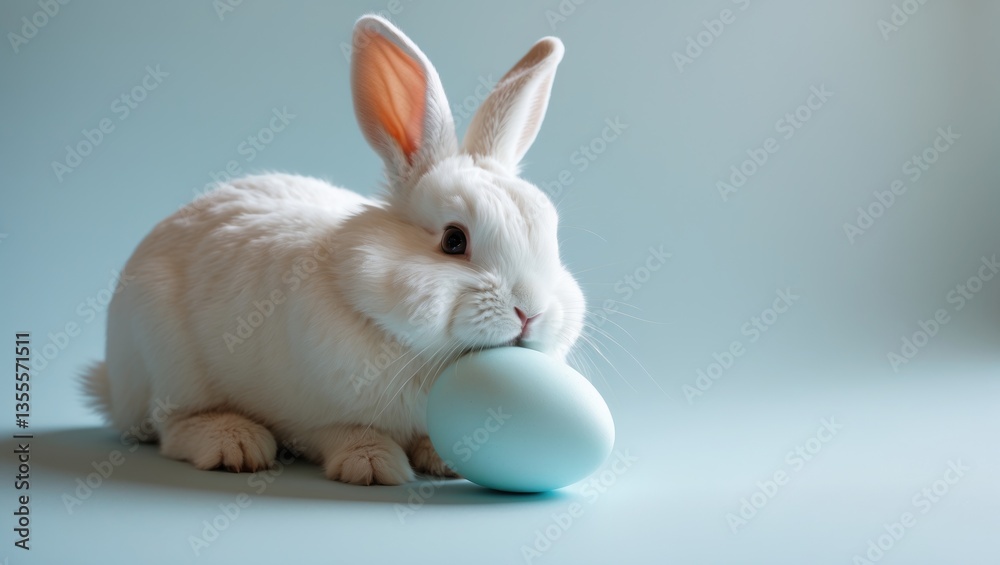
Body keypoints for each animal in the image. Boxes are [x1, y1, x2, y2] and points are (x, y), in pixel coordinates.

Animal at [81, 15, 585, 486]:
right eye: (453, 240)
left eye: (552, 236)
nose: (531, 312)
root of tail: (113, 388)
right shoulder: (313, 416)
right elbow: (345, 432)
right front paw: (372, 464)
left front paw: (442, 460)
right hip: (165, 360)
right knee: (170, 427)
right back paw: (234, 443)